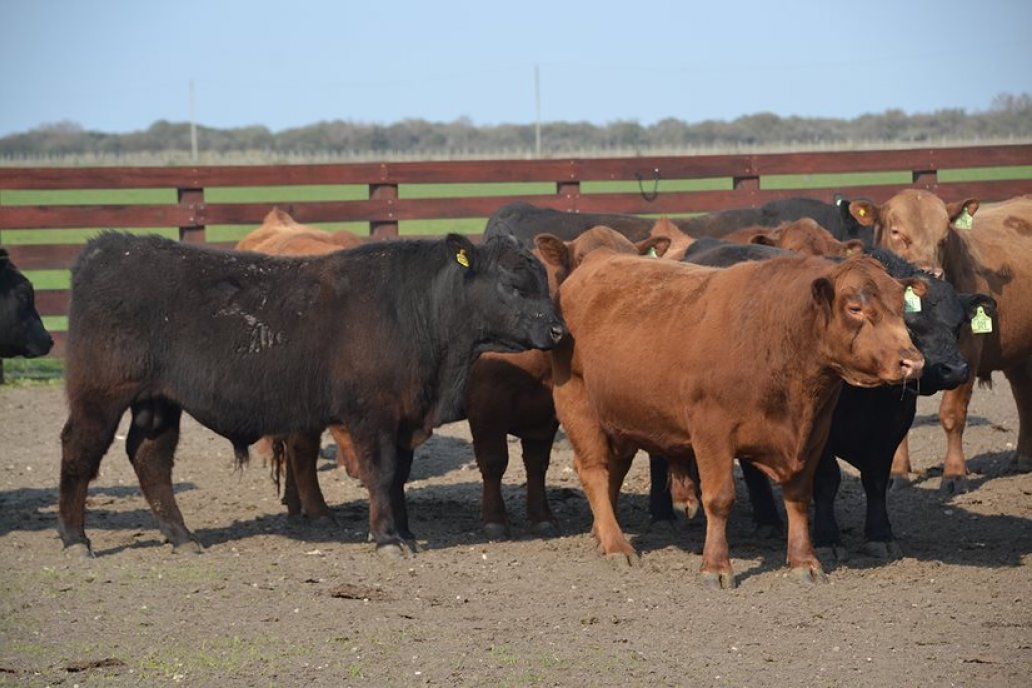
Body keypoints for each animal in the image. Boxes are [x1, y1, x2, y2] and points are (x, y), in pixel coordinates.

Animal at [58, 234, 565, 557]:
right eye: (514, 285)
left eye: (545, 280)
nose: (559, 330)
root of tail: (109, 246)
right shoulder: (372, 414)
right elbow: (381, 473)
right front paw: (387, 540)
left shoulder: (406, 417)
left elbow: (398, 477)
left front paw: (404, 532)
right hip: (100, 393)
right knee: (79, 450)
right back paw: (75, 539)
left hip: (158, 401)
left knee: (150, 457)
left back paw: (182, 538)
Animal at [553, 250, 924, 590]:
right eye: (855, 308)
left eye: (901, 307)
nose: (912, 361)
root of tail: (597, 259)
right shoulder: (711, 432)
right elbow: (719, 499)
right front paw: (716, 566)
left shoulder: (815, 432)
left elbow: (799, 498)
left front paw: (804, 561)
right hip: (577, 403)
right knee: (594, 471)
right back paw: (617, 545)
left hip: (620, 417)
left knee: (614, 469)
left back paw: (602, 534)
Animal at [648, 239, 994, 561]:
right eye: (911, 324)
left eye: (958, 325)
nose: (955, 369)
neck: (871, 399)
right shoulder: (817, 430)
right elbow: (828, 481)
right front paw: (828, 539)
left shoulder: (890, 431)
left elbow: (876, 480)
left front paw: (880, 534)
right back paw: (663, 514)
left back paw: (767, 520)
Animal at [850, 189, 1027, 488]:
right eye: (897, 232)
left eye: (944, 236)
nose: (930, 274)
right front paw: (898, 471)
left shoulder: (965, 359)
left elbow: (952, 414)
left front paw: (954, 472)